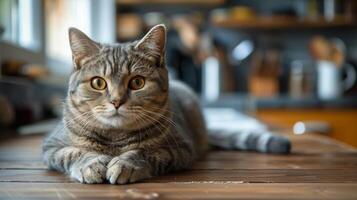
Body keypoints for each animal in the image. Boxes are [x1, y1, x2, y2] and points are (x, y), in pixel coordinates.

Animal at [42, 25, 290, 184]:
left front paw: (126, 164)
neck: (116, 138)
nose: (116, 101)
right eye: (98, 83)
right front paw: (91, 163)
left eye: (137, 82)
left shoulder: (180, 149)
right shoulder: (52, 146)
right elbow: (75, 152)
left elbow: (144, 152)